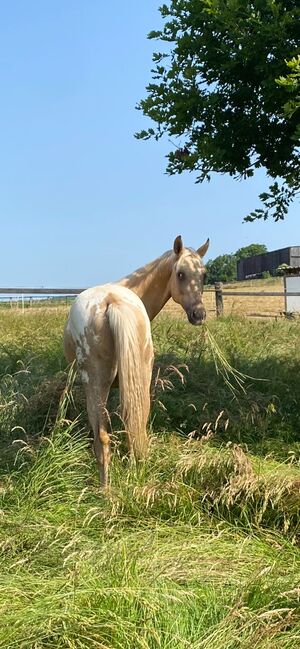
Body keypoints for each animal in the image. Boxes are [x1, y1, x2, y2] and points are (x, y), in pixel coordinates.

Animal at [63, 234, 209, 486]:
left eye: (203, 275)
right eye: (180, 274)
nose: (199, 315)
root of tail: (112, 301)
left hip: (94, 384)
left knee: (102, 436)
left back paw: (105, 489)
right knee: (136, 423)